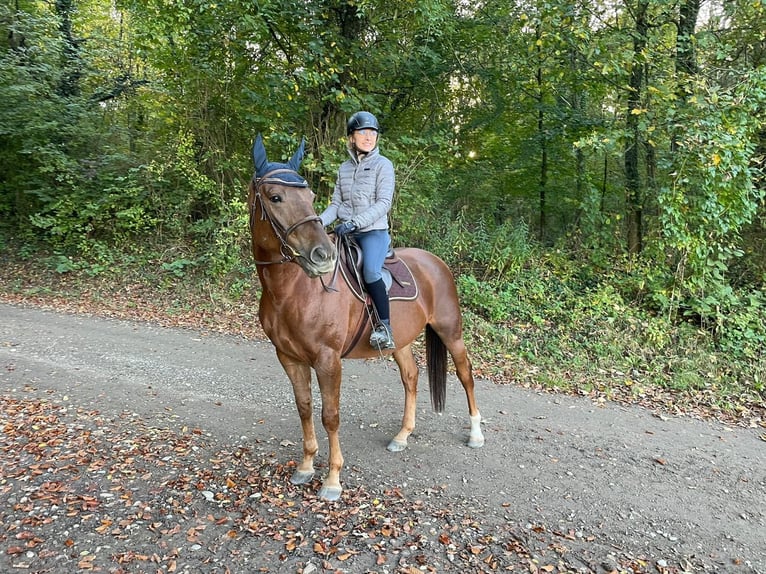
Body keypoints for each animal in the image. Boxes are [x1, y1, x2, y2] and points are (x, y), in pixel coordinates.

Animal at [247, 134, 484, 501]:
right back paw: (402, 436)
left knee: (465, 374)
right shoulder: (288, 356)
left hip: (450, 331)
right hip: (400, 340)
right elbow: (304, 407)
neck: (296, 290)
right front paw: (305, 466)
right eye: (275, 197)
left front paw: (332, 480)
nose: (323, 256)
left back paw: (475, 434)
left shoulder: (328, 360)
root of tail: (436, 262)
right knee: (411, 377)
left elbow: (330, 415)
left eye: (310, 197)